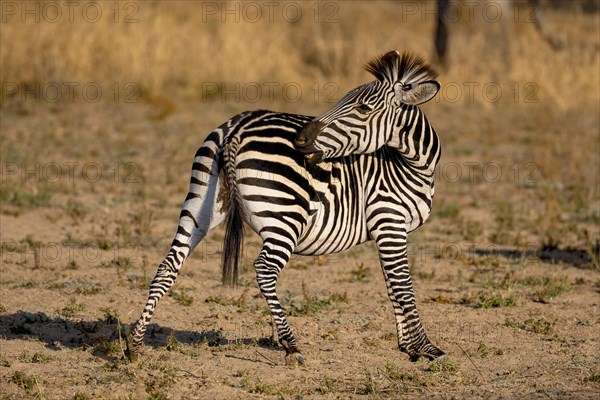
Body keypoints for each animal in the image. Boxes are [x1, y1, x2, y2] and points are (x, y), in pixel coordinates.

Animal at [127, 50, 446, 366]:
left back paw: (135, 344)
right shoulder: (389, 219)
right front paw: (426, 347)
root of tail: (238, 126)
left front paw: (408, 347)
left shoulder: (388, 230)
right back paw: (291, 346)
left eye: (364, 108)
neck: (409, 163)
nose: (302, 139)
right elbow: (403, 285)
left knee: (168, 265)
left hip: (200, 204)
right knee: (265, 269)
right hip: (285, 216)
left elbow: (393, 285)